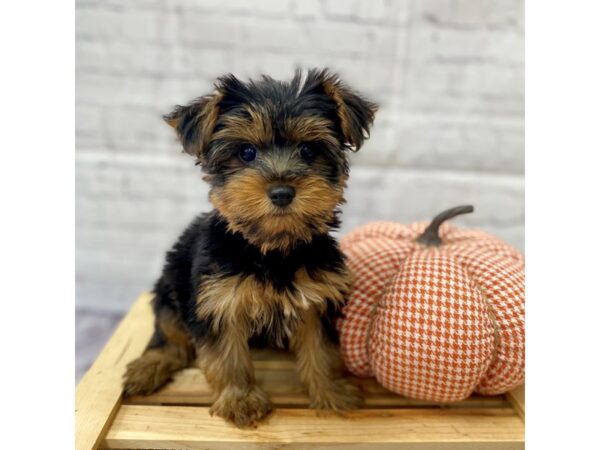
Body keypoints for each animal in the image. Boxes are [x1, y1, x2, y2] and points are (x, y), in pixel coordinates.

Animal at [121, 68, 376, 428]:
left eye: (308, 151)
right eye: (246, 153)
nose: (282, 191)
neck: (271, 248)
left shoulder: (317, 297)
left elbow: (321, 349)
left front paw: (330, 391)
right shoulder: (218, 302)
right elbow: (228, 356)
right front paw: (240, 399)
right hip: (172, 283)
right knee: (169, 333)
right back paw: (149, 366)